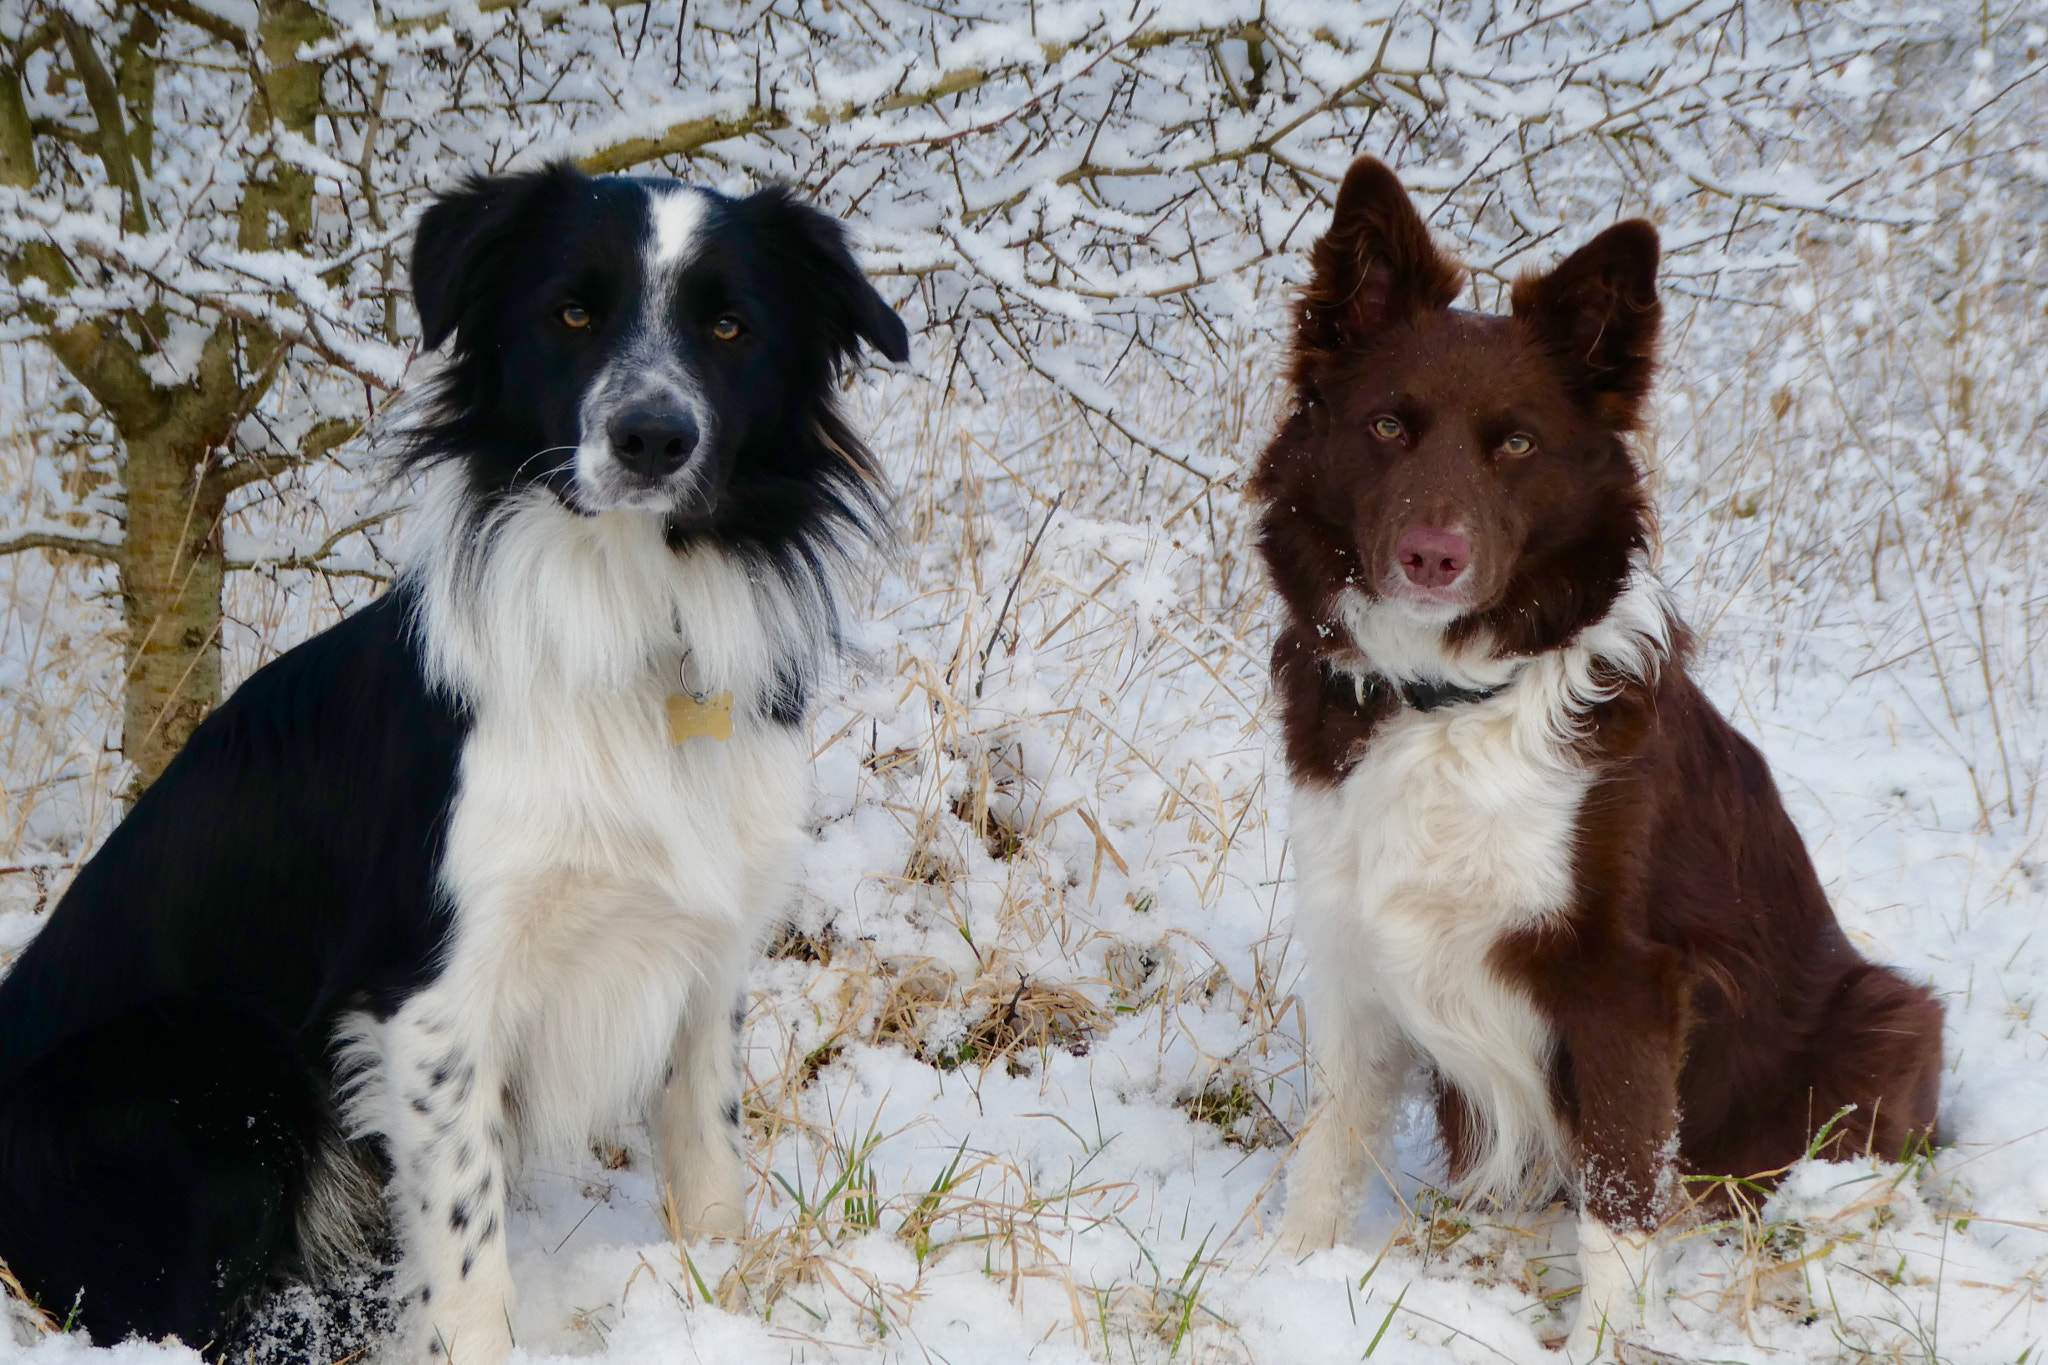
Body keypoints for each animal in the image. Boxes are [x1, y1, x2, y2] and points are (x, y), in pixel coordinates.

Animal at [0, 165, 905, 1358]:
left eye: (729, 326)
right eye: (571, 313)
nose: (650, 437)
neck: (632, 633)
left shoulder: (710, 953)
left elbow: (709, 1160)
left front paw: (725, 1301)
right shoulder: (433, 997)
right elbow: (467, 1250)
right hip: (219, 1081)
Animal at [1253, 157, 1941, 1358]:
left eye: (1517, 444)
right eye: (1387, 425)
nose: (1432, 557)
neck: (1448, 699)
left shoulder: (1628, 986)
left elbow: (1621, 1196)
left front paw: (1606, 1339)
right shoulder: (1351, 943)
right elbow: (1330, 1143)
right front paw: (1285, 1281)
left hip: (1887, 1012)